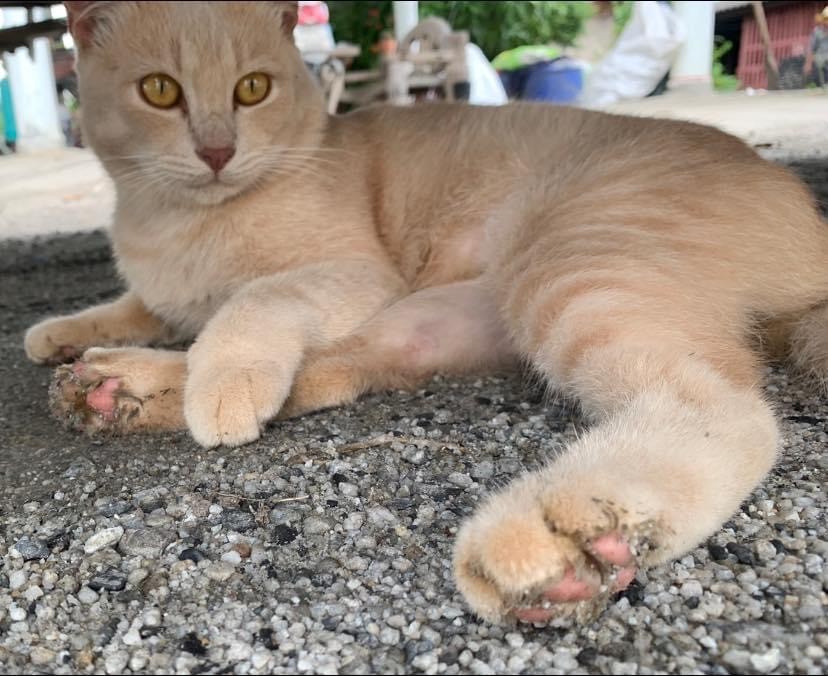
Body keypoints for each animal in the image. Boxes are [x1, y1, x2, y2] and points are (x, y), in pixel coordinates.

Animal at [24, 1, 828, 625]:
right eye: (160, 92)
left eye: (252, 89)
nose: (217, 150)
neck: (172, 224)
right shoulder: (166, 289)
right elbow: (136, 305)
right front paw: (62, 331)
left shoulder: (353, 272)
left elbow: (254, 299)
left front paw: (220, 374)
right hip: (448, 315)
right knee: (332, 370)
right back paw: (117, 389)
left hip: (573, 264)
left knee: (726, 410)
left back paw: (568, 538)